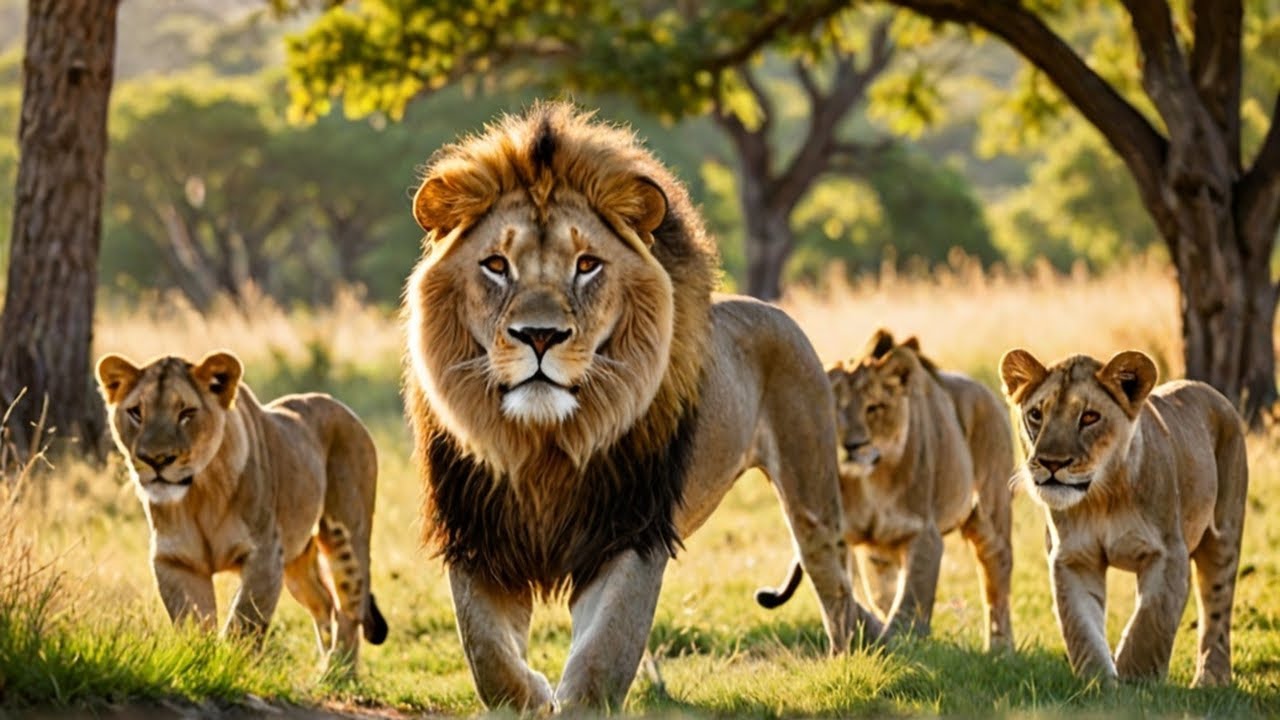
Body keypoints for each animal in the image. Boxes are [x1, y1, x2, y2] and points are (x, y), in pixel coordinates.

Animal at [94, 350, 388, 672]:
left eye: (187, 412)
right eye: (136, 412)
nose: (156, 459)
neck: (200, 497)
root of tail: (343, 407)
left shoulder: (265, 555)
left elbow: (244, 621)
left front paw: (231, 664)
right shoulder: (177, 560)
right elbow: (192, 623)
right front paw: (202, 663)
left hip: (345, 535)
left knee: (350, 606)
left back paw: (339, 672)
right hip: (296, 563)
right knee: (325, 603)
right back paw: (324, 665)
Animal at [403, 101, 881, 713]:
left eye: (587, 265)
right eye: (495, 265)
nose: (540, 335)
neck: (544, 443)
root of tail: (770, 309)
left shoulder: (630, 529)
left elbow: (604, 648)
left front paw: (578, 704)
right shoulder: (476, 530)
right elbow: (487, 653)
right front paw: (530, 698)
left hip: (811, 489)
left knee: (834, 583)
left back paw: (855, 660)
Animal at [756, 330, 1014, 651]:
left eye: (874, 408)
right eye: (834, 409)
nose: (853, 446)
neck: (871, 483)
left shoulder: (923, 533)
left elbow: (910, 601)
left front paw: (903, 641)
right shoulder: (845, 538)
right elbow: (856, 592)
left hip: (991, 516)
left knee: (996, 577)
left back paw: (1001, 649)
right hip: (880, 554)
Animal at [999, 348, 1247, 686]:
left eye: (1089, 417)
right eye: (1036, 414)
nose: (1052, 463)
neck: (1103, 498)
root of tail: (1212, 392)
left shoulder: (1169, 553)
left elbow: (1150, 620)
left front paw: (1135, 680)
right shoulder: (1073, 559)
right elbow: (1081, 628)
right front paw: (1099, 683)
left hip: (1223, 537)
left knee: (1217, 610)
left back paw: (1211, 679)